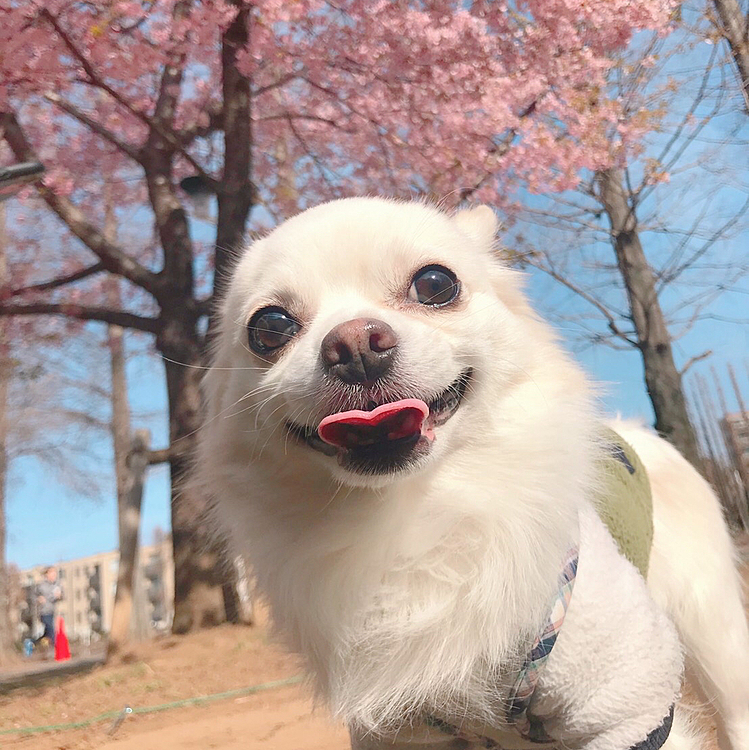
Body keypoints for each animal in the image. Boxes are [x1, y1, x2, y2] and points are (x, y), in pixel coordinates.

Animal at [196, 197, 748, 748]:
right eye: (270, 328)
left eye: (435, 284)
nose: (354, 343)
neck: (414, 513)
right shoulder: (404, 731)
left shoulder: (623, 707)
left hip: (711, 634)